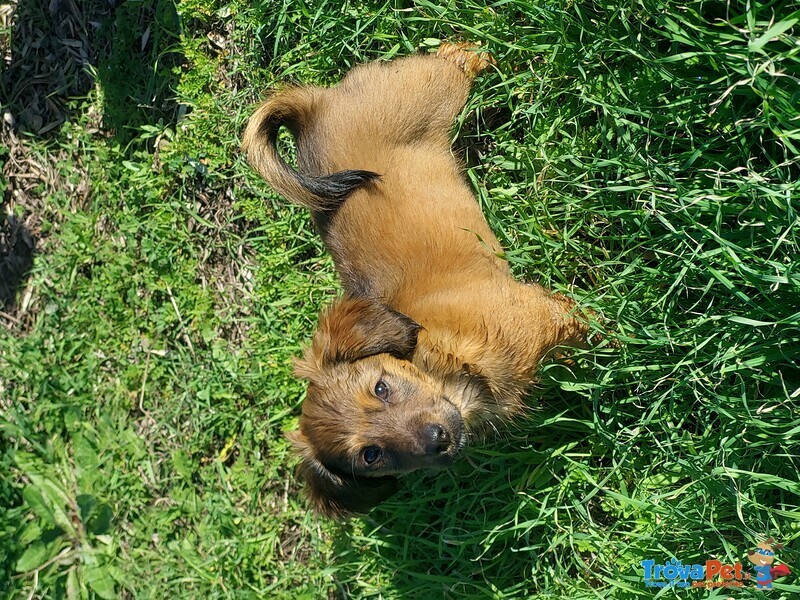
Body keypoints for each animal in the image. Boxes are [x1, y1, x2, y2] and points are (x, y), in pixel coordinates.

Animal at [241, 44, 584, 516]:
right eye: (371, 455)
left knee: (456, 54)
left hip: (435, 90)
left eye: (381, 387)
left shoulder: (547, 313)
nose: (438, 440)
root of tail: (312, 109)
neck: (446, 360)